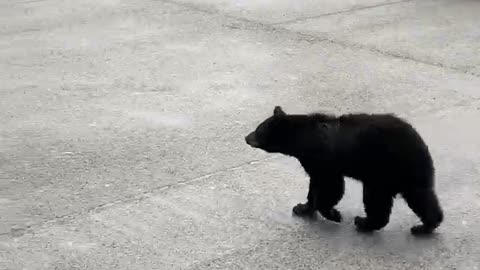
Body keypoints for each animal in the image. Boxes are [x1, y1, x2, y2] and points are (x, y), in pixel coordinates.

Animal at [246, 106, 444, 235]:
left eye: (258, 129)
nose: (246, 137)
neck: (302, 137)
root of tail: (420, 142)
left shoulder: (322, 161)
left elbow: (330, 186)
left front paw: (332, 214)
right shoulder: (315, 164)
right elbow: (315, 186)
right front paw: (303, 207)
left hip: (384, 170)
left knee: (378, 200)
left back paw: (365, 222)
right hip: (404, 173)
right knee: (421, 196)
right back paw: (426, 225)